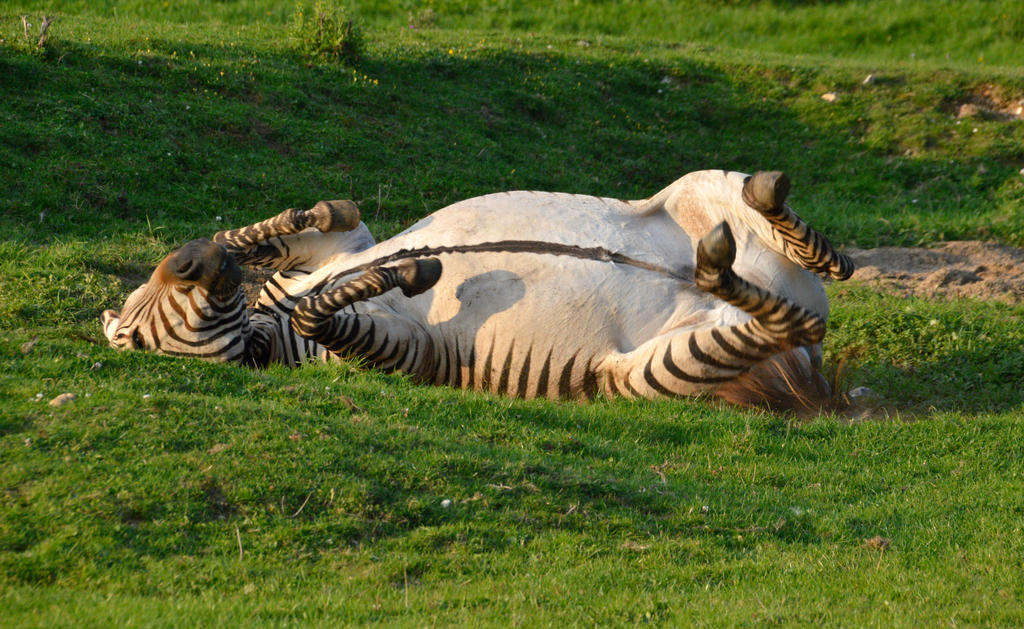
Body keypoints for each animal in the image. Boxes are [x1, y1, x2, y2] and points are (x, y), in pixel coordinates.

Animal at [103, 170, 856, 413]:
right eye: (135, 339)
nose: (189, 259)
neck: (269, 323)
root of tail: (812, 377)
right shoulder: (406, 352)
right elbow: (324, 312)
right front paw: (407, 271)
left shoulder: (332, 254)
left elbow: (295, 230)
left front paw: (311, 214)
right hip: (641, 374)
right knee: (797, 320)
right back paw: (717, 270)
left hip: (698, 190)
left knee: (831, 262)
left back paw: (766, 201)